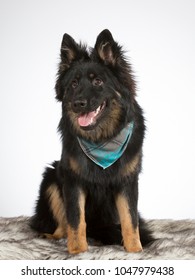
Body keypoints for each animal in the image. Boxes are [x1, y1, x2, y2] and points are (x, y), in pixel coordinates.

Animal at [30, 29, 153, 254]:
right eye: (74, 84)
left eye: (98, 82)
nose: (78, 104)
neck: (102, 139)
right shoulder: (73, 180)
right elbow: (75, 220)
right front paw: (78, 251)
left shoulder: (128, 181)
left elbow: (130, 220)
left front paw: (135, 250)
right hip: (51, 177)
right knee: (63, 225)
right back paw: (53, 236)